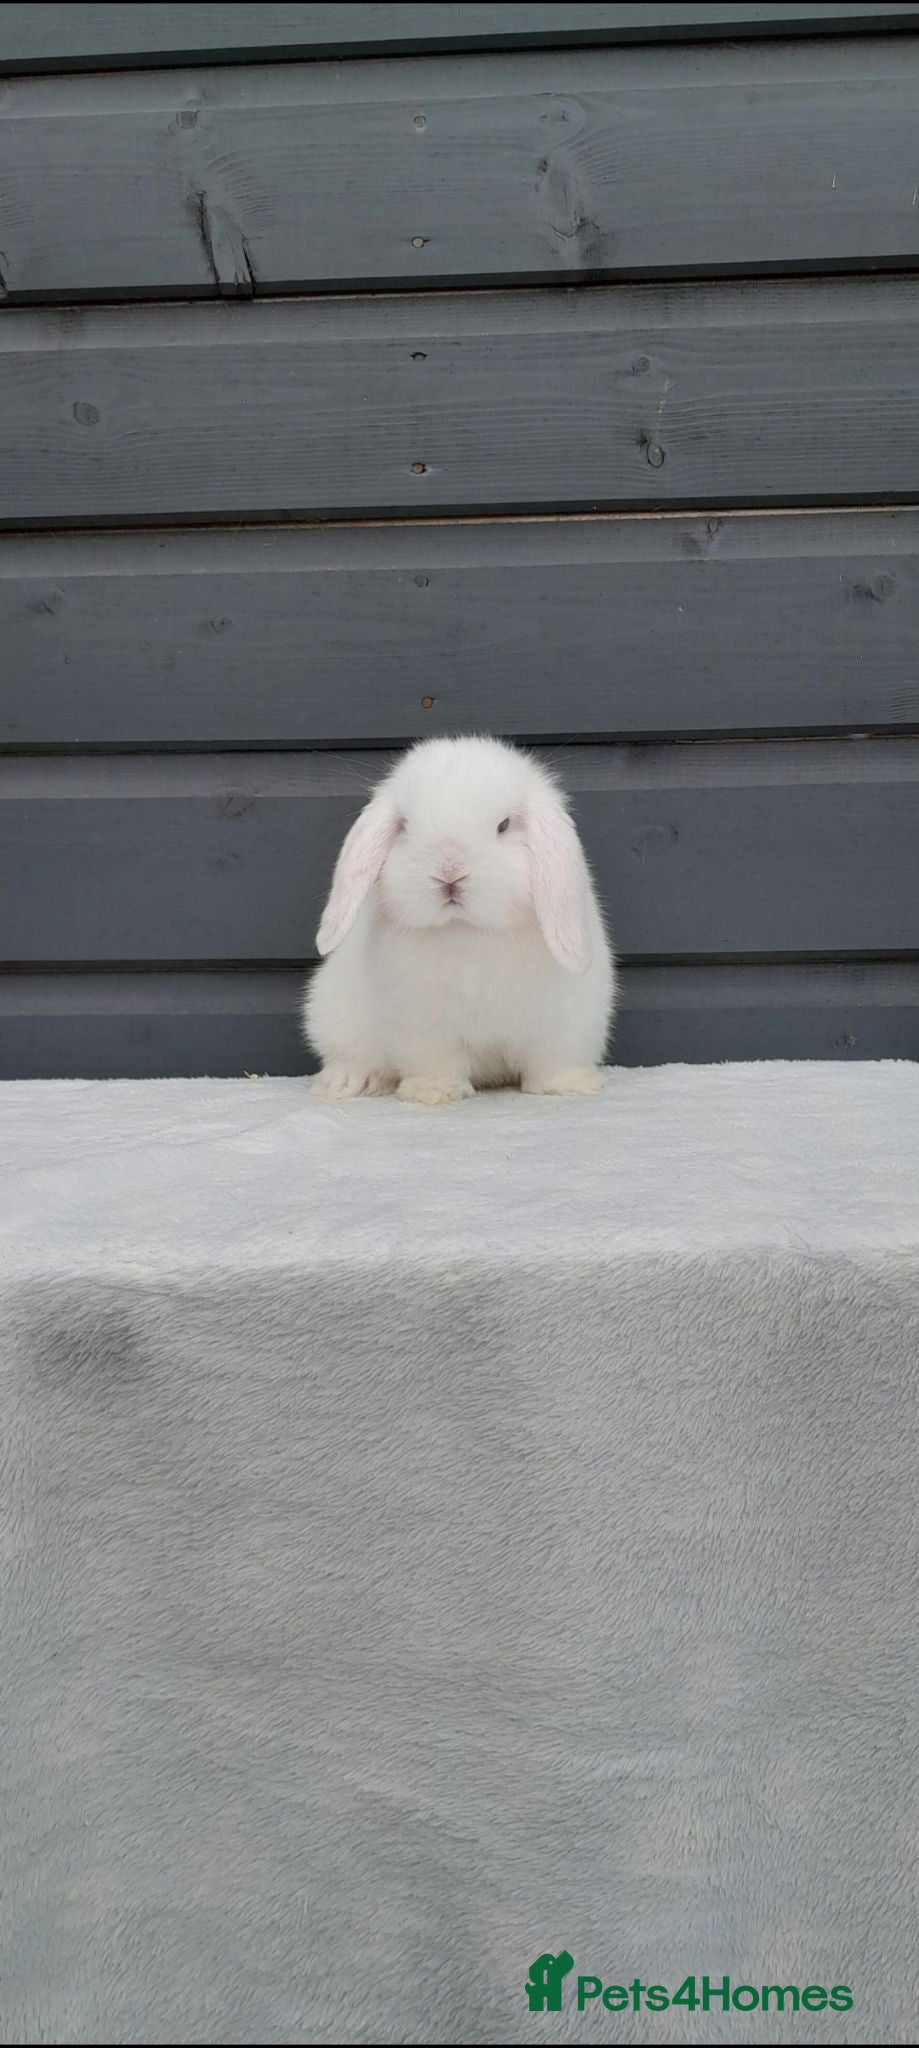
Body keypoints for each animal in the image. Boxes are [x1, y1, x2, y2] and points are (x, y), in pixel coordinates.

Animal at [304, 735, 615, 1106]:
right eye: (404, 825)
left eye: (504, 825)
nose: (449, 873)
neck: (468, 930)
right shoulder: (423, 1025)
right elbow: (435, 1061)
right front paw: (432, 1092)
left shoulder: (562, 1023)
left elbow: (554, 1059)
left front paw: (568, 1085)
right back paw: (349, 1082)